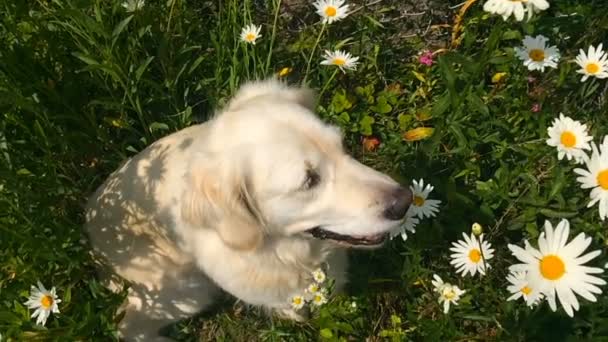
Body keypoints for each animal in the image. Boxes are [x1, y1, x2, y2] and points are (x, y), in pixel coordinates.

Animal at [84, 79, 408, 340]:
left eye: (342, 147)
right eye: (309, 180)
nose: (405, 201)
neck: (289, 252)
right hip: (188, 290)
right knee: (128, 327)